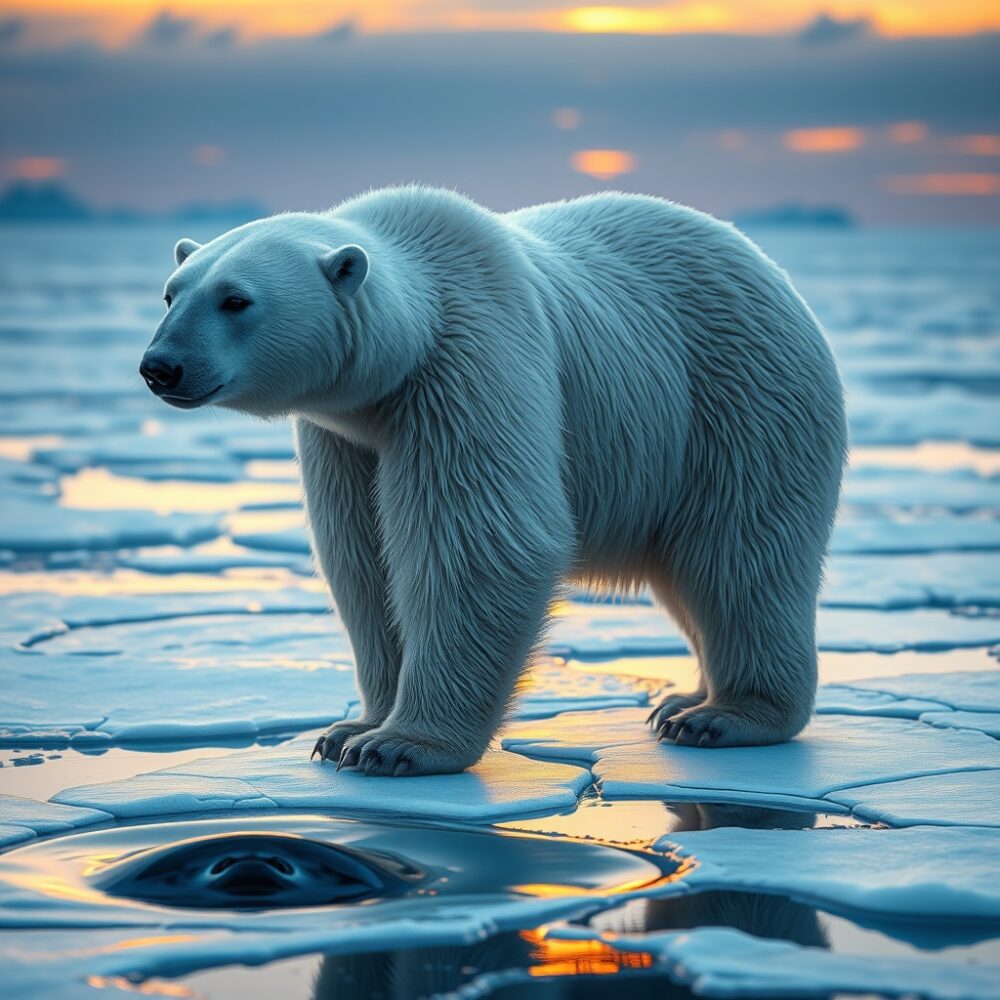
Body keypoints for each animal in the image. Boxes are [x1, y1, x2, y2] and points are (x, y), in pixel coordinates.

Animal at [140, 186, 847, 776]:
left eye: (236, 299)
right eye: (173, 292)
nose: (160, 366)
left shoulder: (469, 363)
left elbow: (481, 547)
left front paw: (397, 747)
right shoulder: (346, 433)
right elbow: (361, 559)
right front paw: (348, 731)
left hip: (739, 397)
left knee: (739, 554)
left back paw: (720, 716)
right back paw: (682, 698)